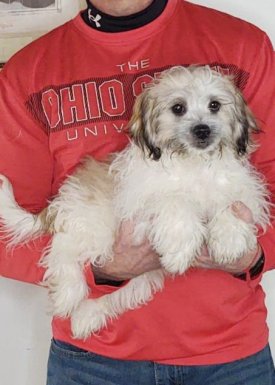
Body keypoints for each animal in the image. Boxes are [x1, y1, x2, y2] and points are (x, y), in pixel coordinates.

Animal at [0, 67, 270, 340]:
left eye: (215, 105)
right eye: (178, 108)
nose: (202, 130)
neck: (193, 162)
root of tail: (61, 203)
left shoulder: (244, 190)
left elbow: (232, 203)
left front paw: (229, 242)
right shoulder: (141, 198)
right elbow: (175, 199)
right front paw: (179, 247)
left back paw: (86, 316)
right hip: (93, 224)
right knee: (63, 251)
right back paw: (68, 293)